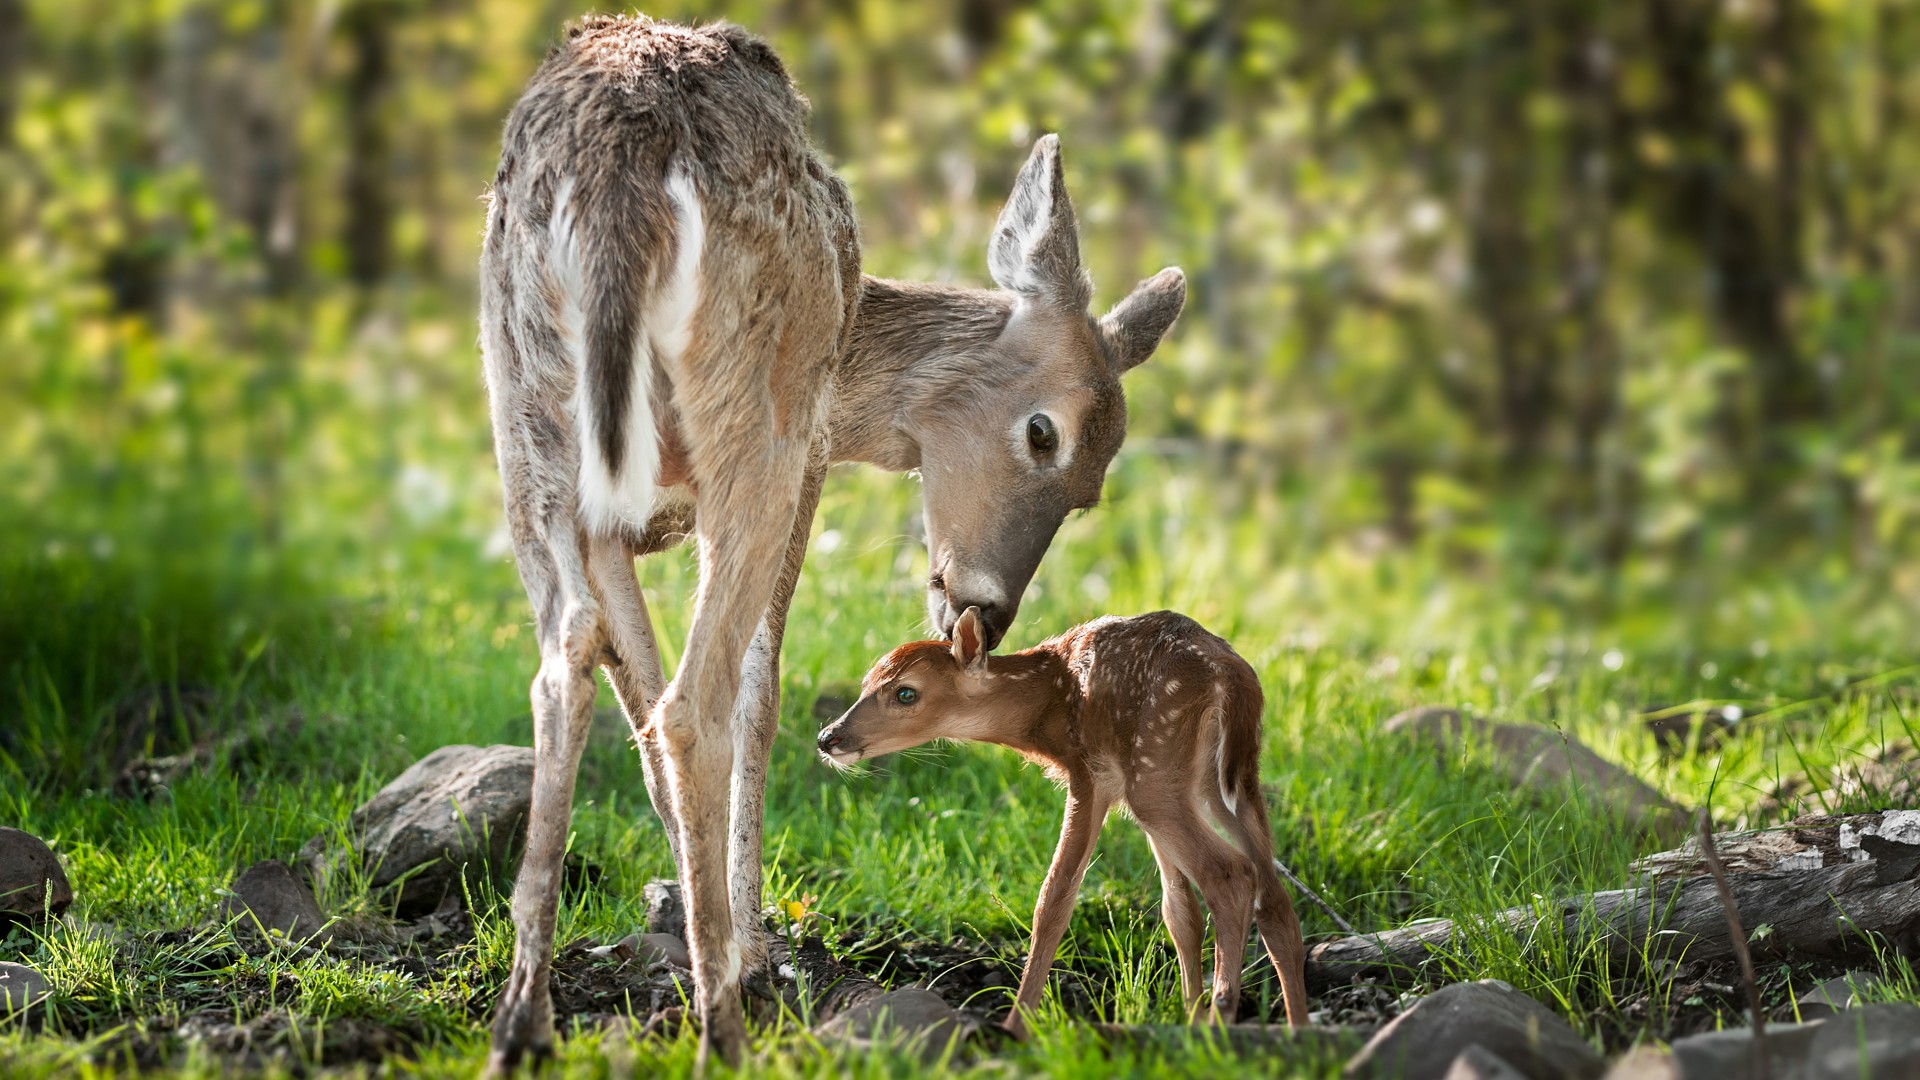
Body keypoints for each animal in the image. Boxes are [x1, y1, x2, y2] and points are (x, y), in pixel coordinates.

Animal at [477, 16, 1186, 1071]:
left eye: (1093, 491)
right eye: (1044, 433)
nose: (986, 610)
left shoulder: (613, 526)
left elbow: (629, 694)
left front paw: (695, 913)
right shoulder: (810, 452)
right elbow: (758, 688)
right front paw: (748, 947)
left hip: (527, 415)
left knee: (564, 662)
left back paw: (525, 1018)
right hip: (756, 420)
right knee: (698, 700)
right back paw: (723, 1025)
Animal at [815, 607, 1311, 1035]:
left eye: (906, 692)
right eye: (865, 682)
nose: (828, 737)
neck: (1046, 710)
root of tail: (1231, 677)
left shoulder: (1090, 773)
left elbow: (1054, 898)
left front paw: (1016, 1027)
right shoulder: (1127, 787)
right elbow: (1179, 912)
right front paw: (1186, 1012)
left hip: (1156, 769)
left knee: (1230, 874)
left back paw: (1219, 1020)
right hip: (1226, 780)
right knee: (1273, 898)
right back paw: (1294, 1029)